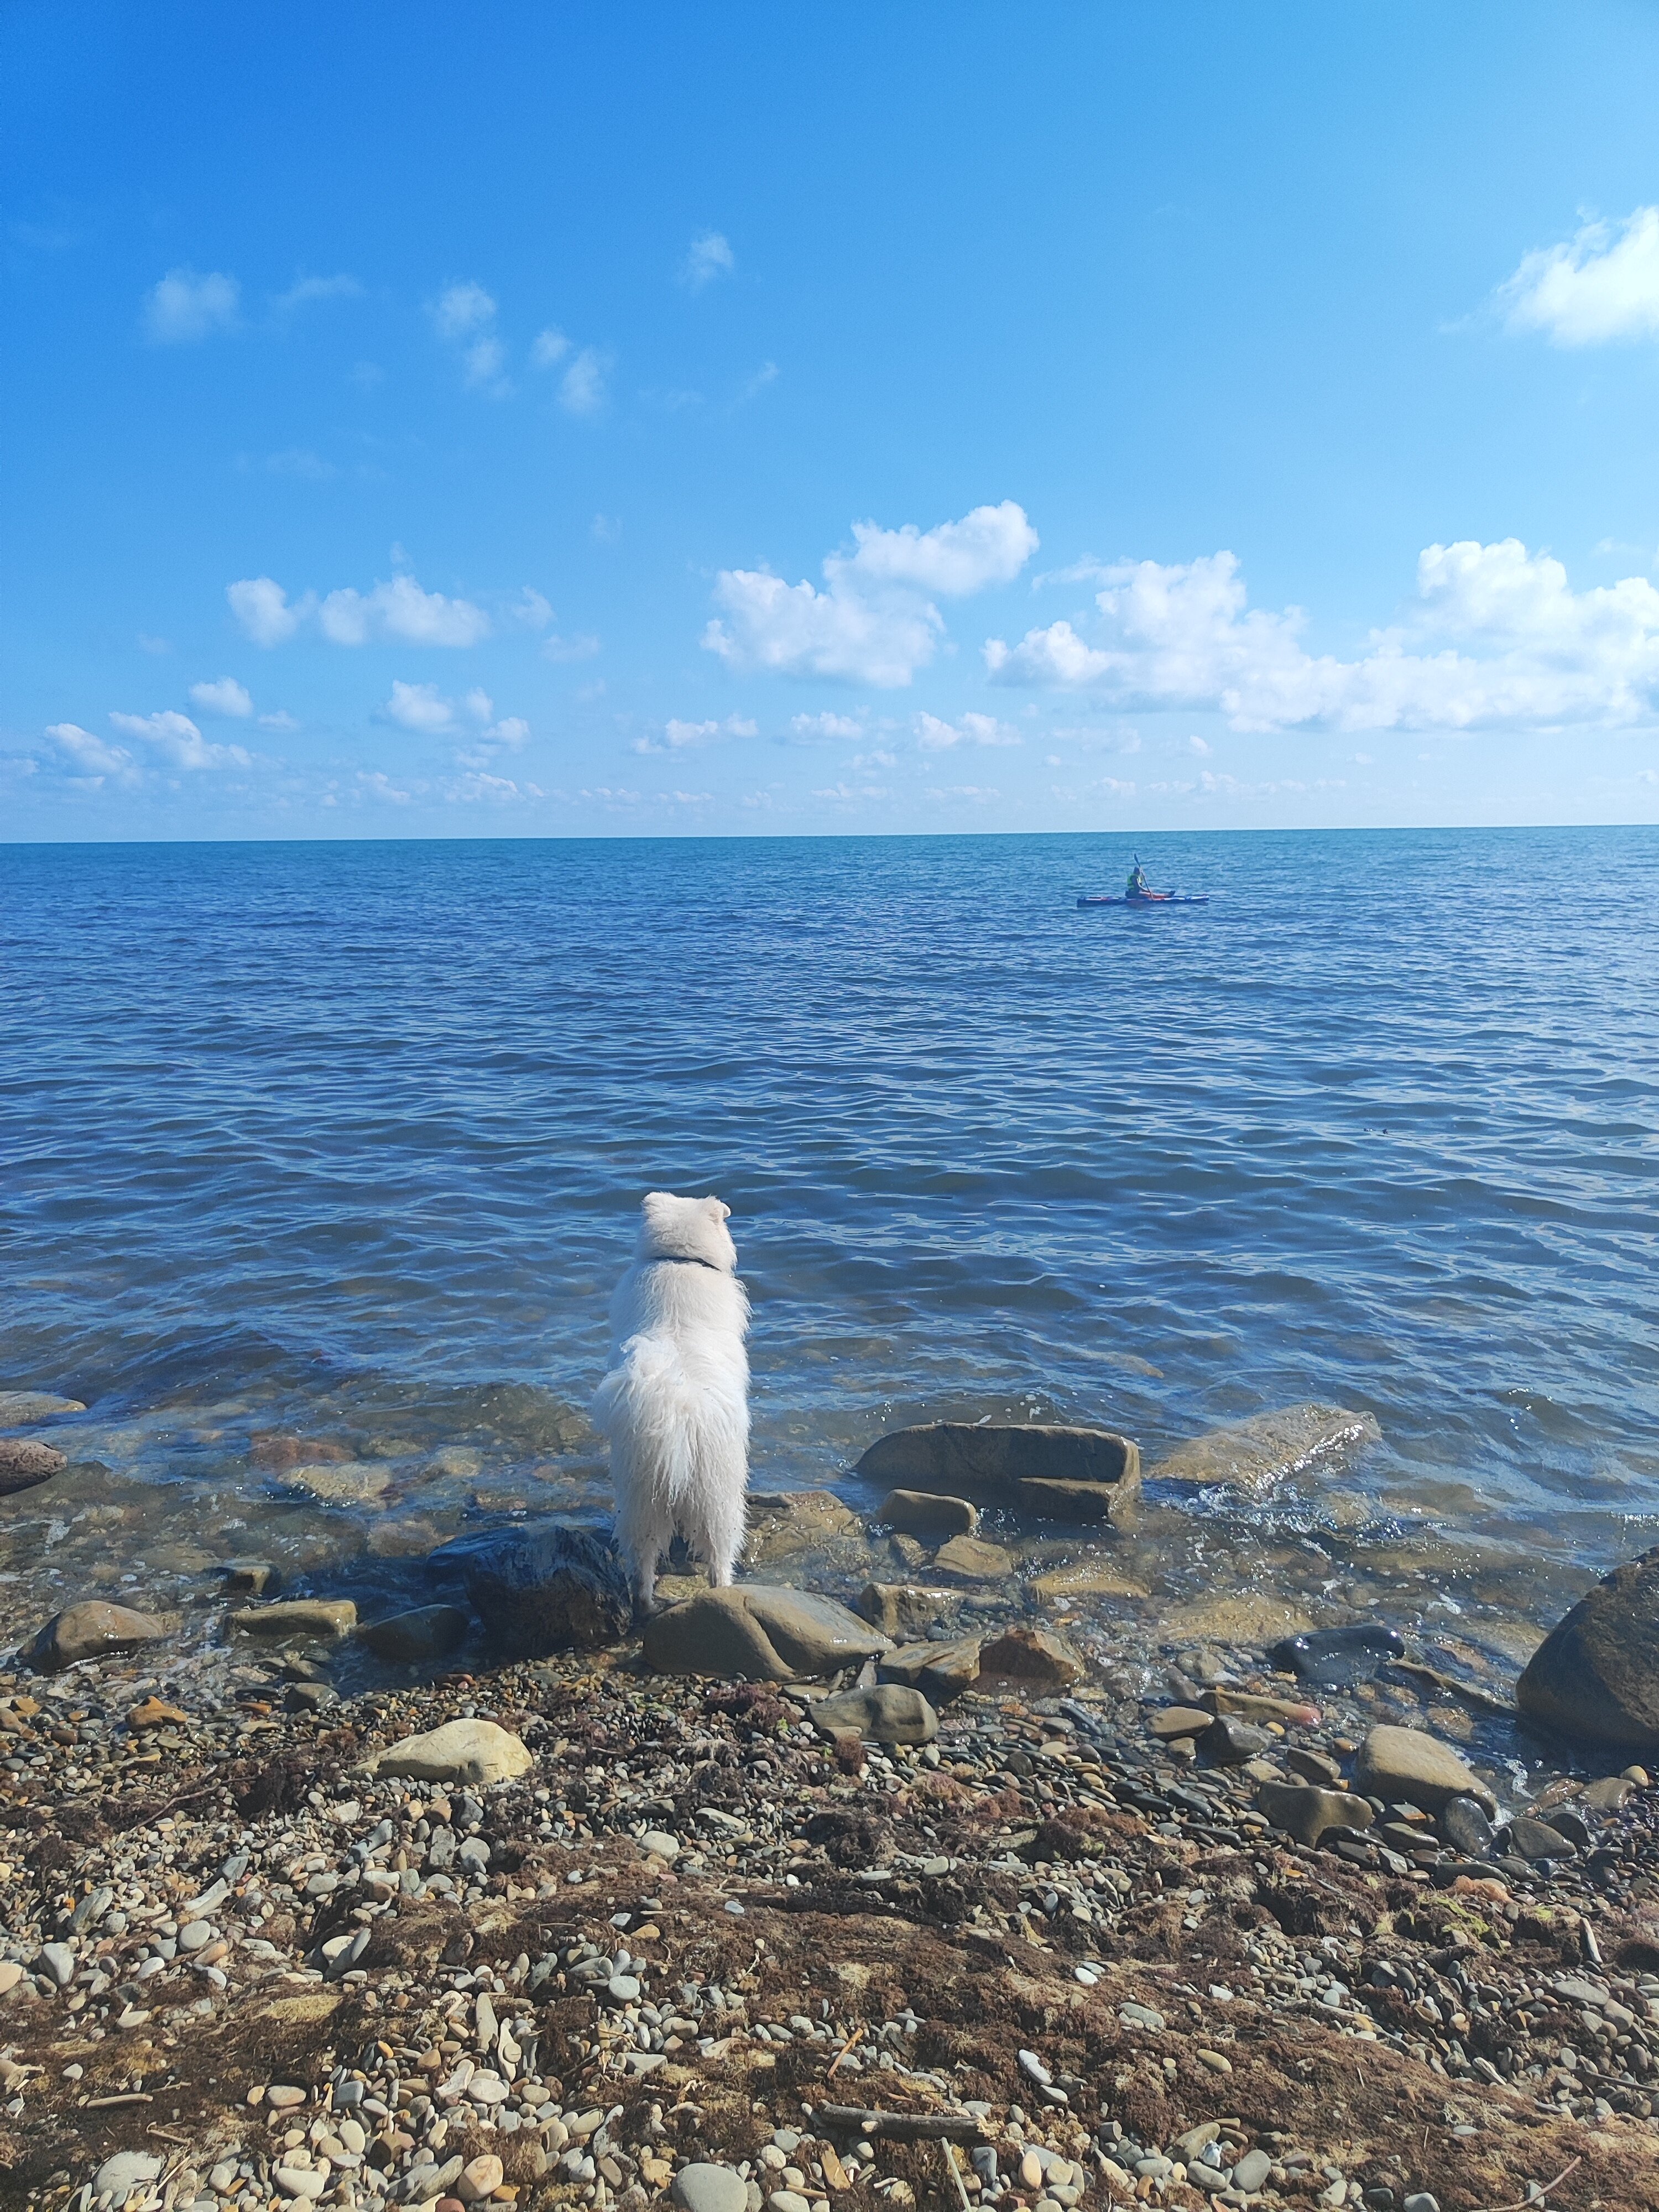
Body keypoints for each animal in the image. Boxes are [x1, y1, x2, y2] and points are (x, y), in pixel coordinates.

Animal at [592, 1191, 751, 1613]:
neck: (678, 1261)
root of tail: (678, 1421)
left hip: (641, 1502)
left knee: (642, 1564)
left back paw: (646, 1606)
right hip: (720, 1500)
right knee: (719, 1558)